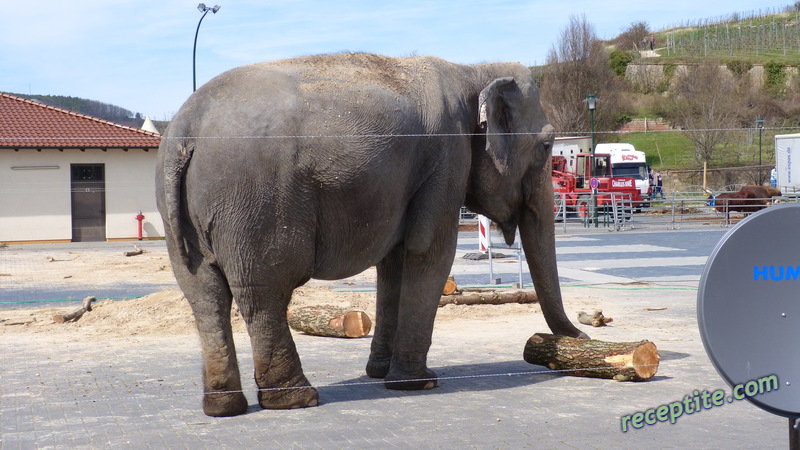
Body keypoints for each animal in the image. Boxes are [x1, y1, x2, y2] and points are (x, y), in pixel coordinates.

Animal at [155, 52, 588, 418]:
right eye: (547, 145)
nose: (581, 336)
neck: (473, 69)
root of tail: (184, 131)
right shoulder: (446, 159)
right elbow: (429, 251)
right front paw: (418, 382)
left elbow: (393, 261)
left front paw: (379, 373)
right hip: (256, 204)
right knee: (262, 294)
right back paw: (296, 399)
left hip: (179, 214)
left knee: (204, 295)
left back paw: (223, 407)